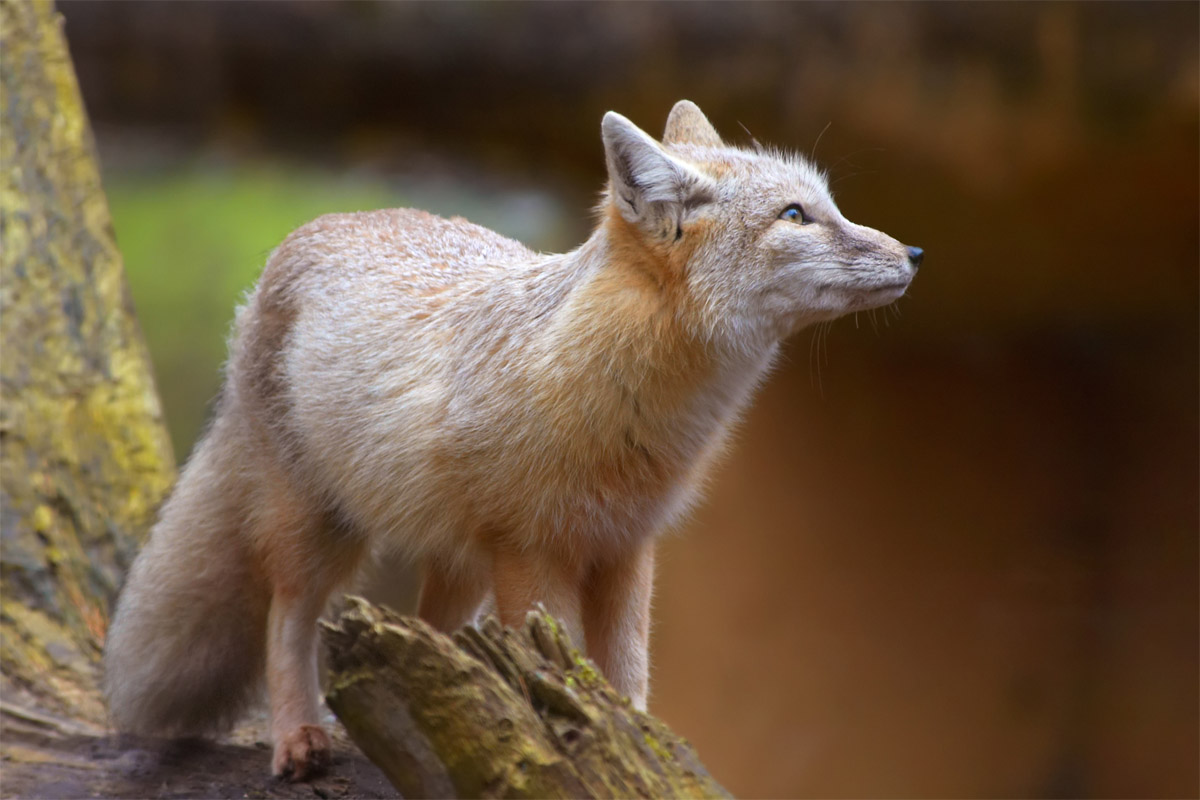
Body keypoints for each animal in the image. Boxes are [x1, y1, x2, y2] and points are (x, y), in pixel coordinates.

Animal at [105, 98, 926, 777]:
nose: (914, 255)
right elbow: (562, 673)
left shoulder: (624, 550)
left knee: (428, 633)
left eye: (829, 206)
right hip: (322, 532)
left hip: (460, 564)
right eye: (796, 216)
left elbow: (626, 680)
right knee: (287, 618)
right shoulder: (535, 557)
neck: (625, 410)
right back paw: (297, 736)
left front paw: (638, 751)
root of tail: (317, 227)